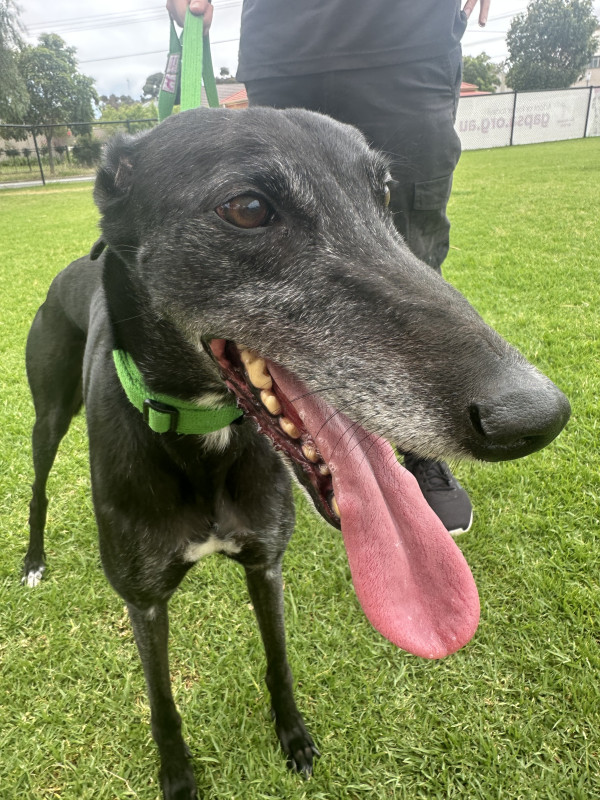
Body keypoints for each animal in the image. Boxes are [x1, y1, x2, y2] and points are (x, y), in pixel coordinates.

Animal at [23, 107, 570, 800]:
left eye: (383, 196)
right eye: (248, 208)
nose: (536, 416)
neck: (203, 440)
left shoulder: (266, 563)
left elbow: (278, 661)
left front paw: (294, 737)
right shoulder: (143, 602)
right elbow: (163, 703)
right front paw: (177, 775)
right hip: (48, 418)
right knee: (37, 486)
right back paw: (32, 561)